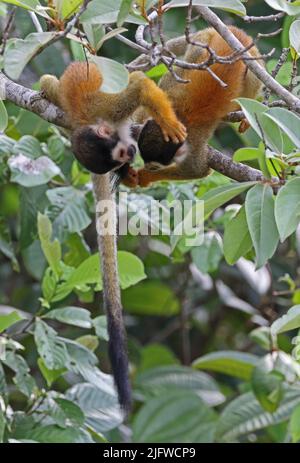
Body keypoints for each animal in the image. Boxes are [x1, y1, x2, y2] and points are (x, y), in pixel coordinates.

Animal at [39, 60, 186, 414]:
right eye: (119, 154)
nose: (129, 156)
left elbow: (138, 84)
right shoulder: (107, 110)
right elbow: (138, 85)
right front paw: (167, 122)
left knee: (49, 81)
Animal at [137, 26, 264, 187]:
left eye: (154, 167)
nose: (148, 167)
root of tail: (234, 31)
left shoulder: (192, 142)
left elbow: (197, 170)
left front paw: (144, 177)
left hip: (252, 57)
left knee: (253, 77)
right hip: (206, 39)